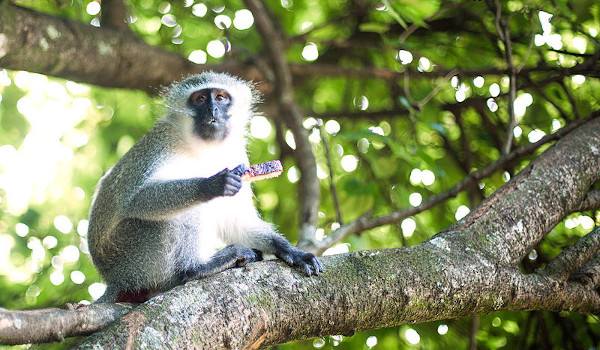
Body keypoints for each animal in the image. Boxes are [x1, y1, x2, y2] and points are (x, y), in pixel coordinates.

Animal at [87, 72, 324, 304]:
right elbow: (134, 200)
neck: (203, 148)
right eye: (200, 99)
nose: (213, 110)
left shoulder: (236, 153)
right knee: (180, 213)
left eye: (220, 97)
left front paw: (290, 250)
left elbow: (236, 220)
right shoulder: (161, 141)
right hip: (131, 258)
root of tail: (113, 280)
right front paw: (212, 184)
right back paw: (195, 268)